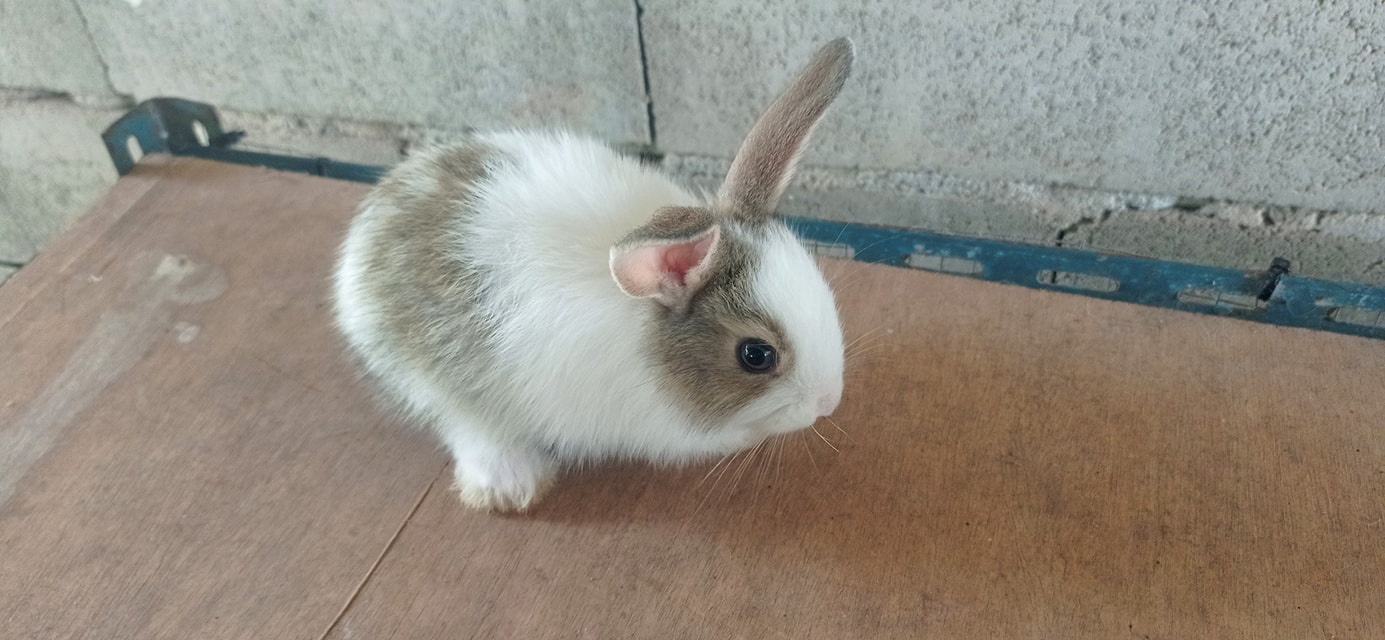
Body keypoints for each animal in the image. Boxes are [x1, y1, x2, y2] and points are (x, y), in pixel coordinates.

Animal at [333, 38, 854, 512]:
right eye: (756, 355)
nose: (829, 402)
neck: (645, 323)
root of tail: (365, 231)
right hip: (433, 383)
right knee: (466, 425)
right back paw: (510, 486)